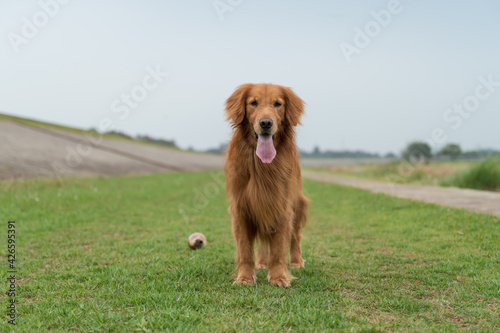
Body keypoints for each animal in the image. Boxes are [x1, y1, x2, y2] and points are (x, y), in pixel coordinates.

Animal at [224, 82, 308, 286]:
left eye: (278, 104)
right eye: (253, 103)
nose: (266, 123)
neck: (261, 164)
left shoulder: (281, 207)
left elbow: (278, 249)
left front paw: (278, 276)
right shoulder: (242, 209)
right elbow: (245, 250)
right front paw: (245, 277)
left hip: (298, 205)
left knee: (295, 237)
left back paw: (296, 262)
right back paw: (262, 262)